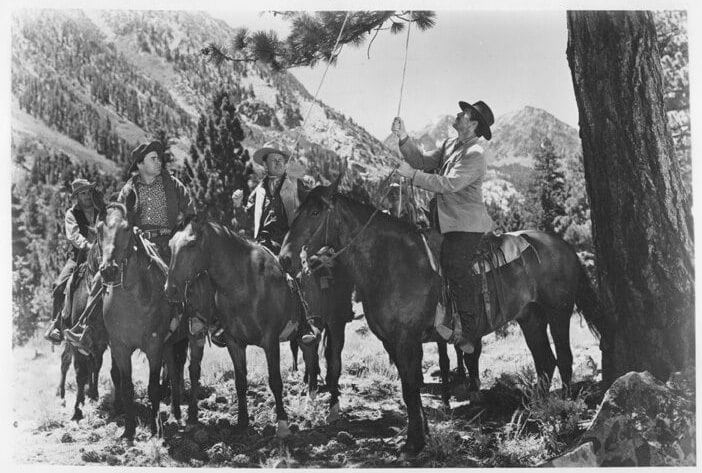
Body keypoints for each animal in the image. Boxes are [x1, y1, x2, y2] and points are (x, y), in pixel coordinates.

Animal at [97, 203, 183, 438]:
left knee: (177, 372)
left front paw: (154, 429)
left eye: (127, 229)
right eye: (98, 229)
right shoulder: (119, 347)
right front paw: (128, 430)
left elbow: (154, 387)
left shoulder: (154, 345)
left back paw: (179, 413)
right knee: (173, 371)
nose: (108, 270)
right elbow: (126, 387)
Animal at [164, 217, 318, 436]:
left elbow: (275, 381)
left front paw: (282, 423)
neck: (242, 284)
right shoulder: (234, 342)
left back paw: (314, 398)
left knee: (311, 347)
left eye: (192, 244)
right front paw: (242, 421)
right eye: (170, 245)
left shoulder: (270, 341)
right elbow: (240, 381)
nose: (170, 289)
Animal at [280, 182, 612, 454]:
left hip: (558, 312)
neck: (392, 262)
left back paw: (563, 413)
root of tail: (560, 244)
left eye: (314, 212)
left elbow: (410, 388)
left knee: (564, 359)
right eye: (296, 212)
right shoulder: (395, 343)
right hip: (530, 317)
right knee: (545, 361)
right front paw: (420, 435)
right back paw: (533, 413)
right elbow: (410, 387)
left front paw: (413, 443)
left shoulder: (406, 340)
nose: (284, 258)